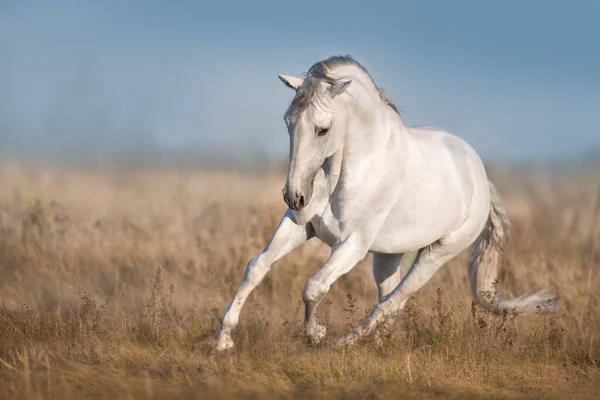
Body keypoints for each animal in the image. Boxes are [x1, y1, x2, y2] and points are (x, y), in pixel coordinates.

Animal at [213, 54, 560, 350]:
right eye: (288, 121)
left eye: (322, 129)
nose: (295, 196)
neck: (347, 170)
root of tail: (481, 179)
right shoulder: (298, 227)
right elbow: (256, 267)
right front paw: (223, 340)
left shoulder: (352, 245)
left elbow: (314, 287)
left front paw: (316, 334)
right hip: (387, 256)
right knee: (387, 299)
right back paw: (375, 343)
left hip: (436, 254)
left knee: (393, 302)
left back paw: (345, 343)